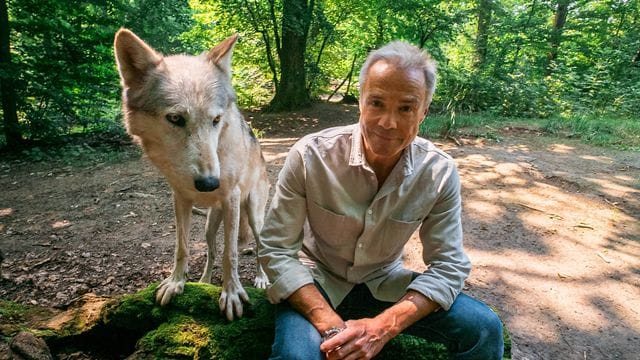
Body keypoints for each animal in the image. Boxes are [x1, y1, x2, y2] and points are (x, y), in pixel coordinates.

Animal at [114, 28, 268, 320]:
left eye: (216, 120)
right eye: (175, 119)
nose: (209, 184)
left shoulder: (231, 198)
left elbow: (231, 254)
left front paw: (232, 293)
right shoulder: (180, 199)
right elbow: (182, 247)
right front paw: (176, 283)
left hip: (254, 216)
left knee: (259, 248)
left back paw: (262, 279)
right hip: (209, 225)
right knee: (211, 252)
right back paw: (205, 282)